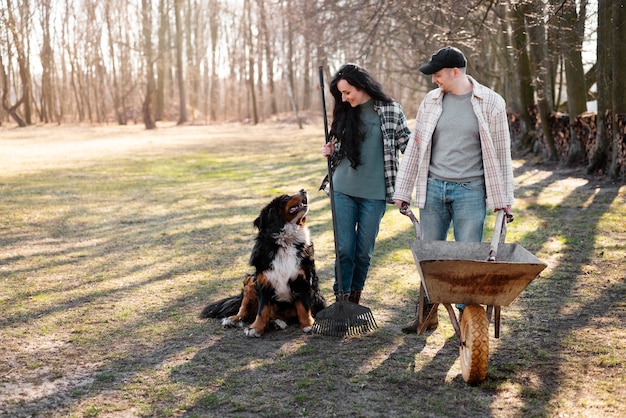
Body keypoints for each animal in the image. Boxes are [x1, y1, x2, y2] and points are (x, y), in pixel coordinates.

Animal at [200, 189, 326, 336]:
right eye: (285, 198)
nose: (303, 190)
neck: (285, 242)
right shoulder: (264, 281)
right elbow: (262, 310)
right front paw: (255, 328)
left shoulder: (303, 279)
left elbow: (304, 306)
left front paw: (309, 325)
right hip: (250, 281)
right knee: (245, 309)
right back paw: (233, 319)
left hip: (319, 298)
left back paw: (278, 322)